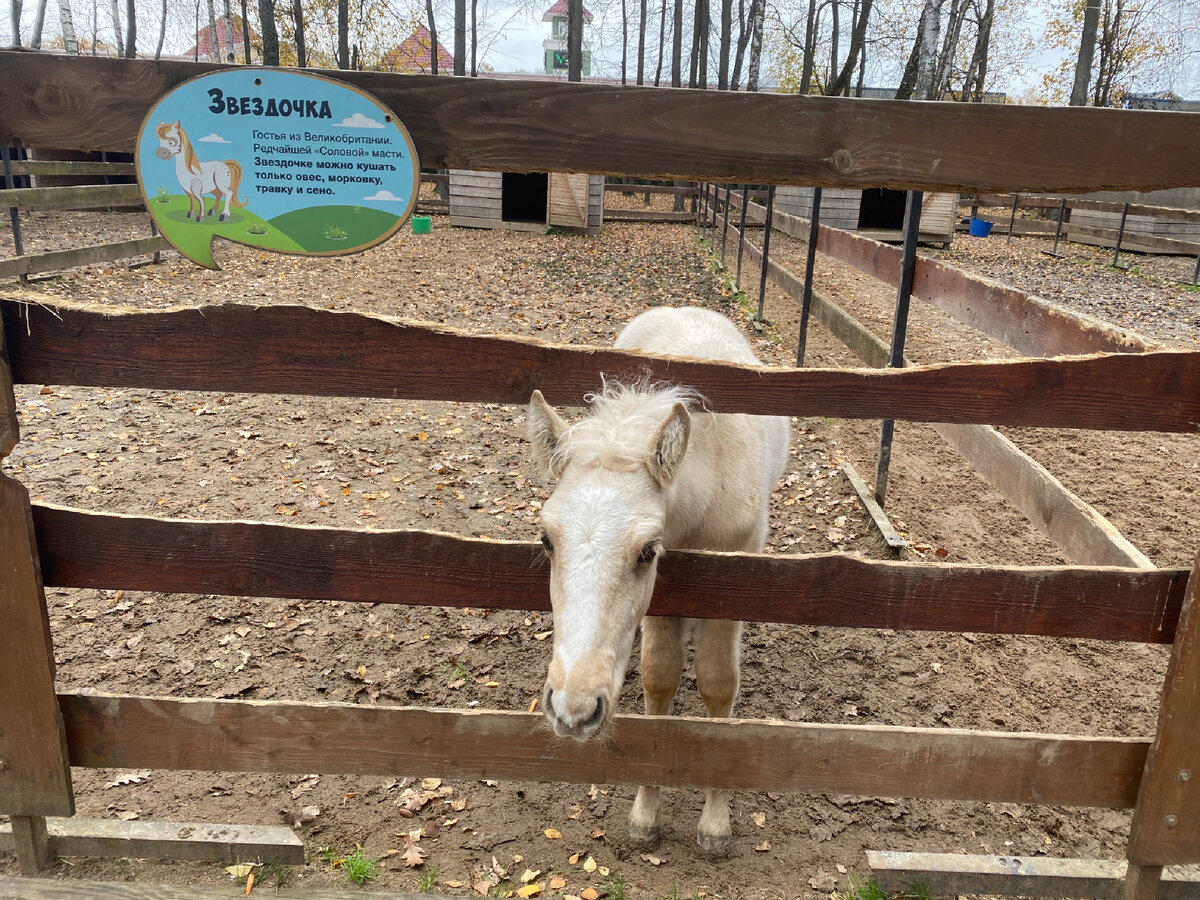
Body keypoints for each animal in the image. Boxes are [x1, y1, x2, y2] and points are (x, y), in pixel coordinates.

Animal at [523, 307, 787, 854]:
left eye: (647, 551)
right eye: (546, 539)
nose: (573, 711)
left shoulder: (732, 580)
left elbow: (718, 684)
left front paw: (714, 824)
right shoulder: (665, 598)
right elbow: (660, 678)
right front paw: (646, 815)